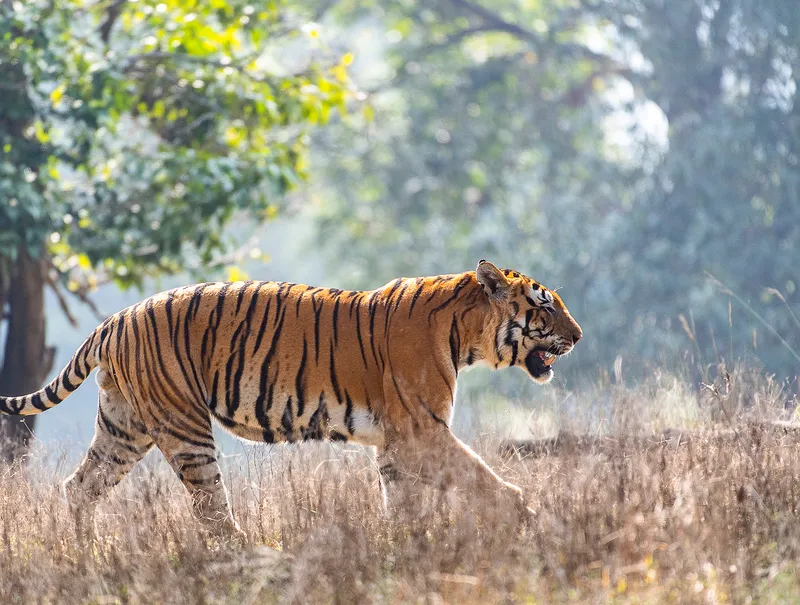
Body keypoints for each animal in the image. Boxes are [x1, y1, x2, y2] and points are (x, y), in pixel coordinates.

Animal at [0, 260, 582, 539]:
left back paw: (87, 554)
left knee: (79, 488)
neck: (466, 332)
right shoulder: (422, 430)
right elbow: (480, 476)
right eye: (544, 304)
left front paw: (406, 548)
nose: (578, 336)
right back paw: (253, 557)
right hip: (184, 428)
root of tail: (116, 317)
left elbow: (403, 503)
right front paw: (527, 516)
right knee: (210, 511)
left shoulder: (396, 443)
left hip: (124, 427)